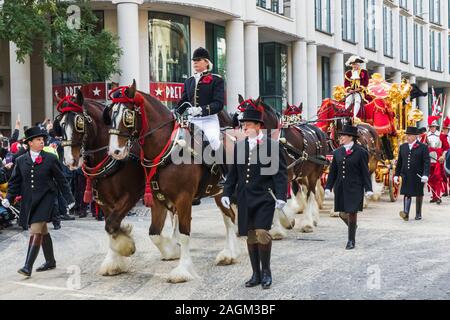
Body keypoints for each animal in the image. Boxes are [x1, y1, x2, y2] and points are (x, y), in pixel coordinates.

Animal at [104, 81, 241, 284]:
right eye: (110, 114)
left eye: (128, 115)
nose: (115, 151)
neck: (168, 149)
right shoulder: (157, 199)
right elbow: (154, 233)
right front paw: (171, 250)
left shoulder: (184, 199)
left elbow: (184, 234)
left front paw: (182, 270)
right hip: (218, 193)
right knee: (229, 217)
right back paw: (230, 254)